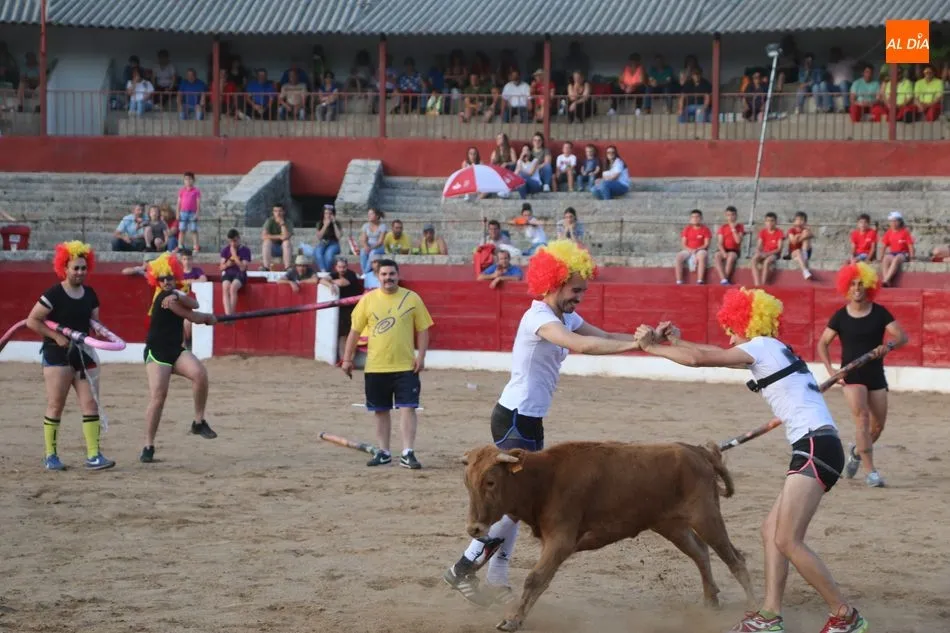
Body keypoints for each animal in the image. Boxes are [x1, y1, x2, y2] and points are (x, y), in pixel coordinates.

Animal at [460, 440, 756, 632]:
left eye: (490, 482)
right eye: (467, 482)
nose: (475, 528)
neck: (544, 479)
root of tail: (698, 451)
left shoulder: (560, 540)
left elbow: (536, 578)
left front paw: (511, 620)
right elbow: (539, 579)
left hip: (706, 517)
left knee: (735, 559)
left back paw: (752, 607)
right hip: (672, 526)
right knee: (701, 552)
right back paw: (710, 600)